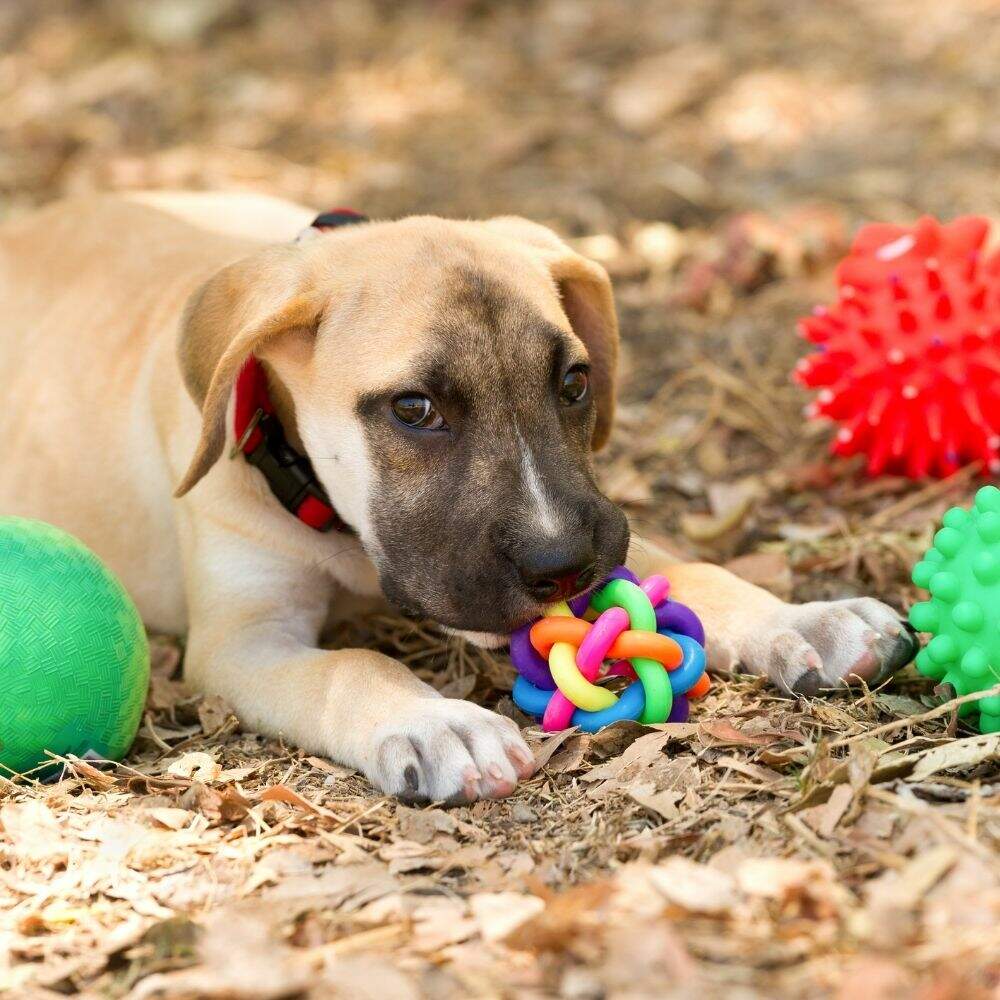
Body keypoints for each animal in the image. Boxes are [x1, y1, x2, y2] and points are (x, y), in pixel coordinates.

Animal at [0, 193, 916, 804]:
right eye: (414, 410)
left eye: (575, 383)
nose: (561, 567)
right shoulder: (241, 641)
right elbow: (350, 666)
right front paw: (438, 723)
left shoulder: (608, 531)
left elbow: (694, 571)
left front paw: (804, 619)